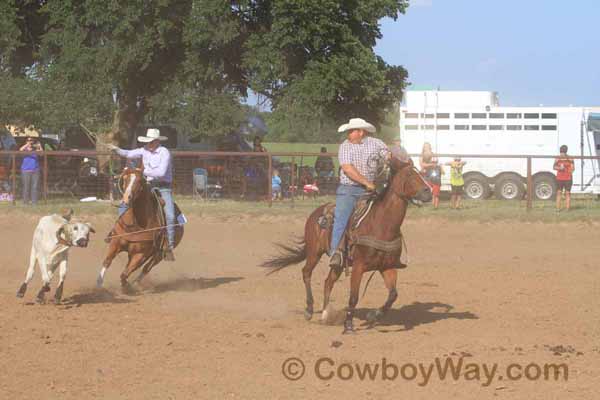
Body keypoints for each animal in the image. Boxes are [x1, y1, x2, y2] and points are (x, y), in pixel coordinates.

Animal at [262, 158, 432, 332]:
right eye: (409, 175)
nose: (429, 192)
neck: (381, 225)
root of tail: (316, 212)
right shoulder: (358, 266)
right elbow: (353, 297)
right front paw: (349, 325)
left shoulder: (387, 267)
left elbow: (393, 294)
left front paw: (374, 315)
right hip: (314, 252)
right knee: (306, 273)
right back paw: (309, 310)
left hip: (338, 263)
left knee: (328, 282)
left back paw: (325, 314)